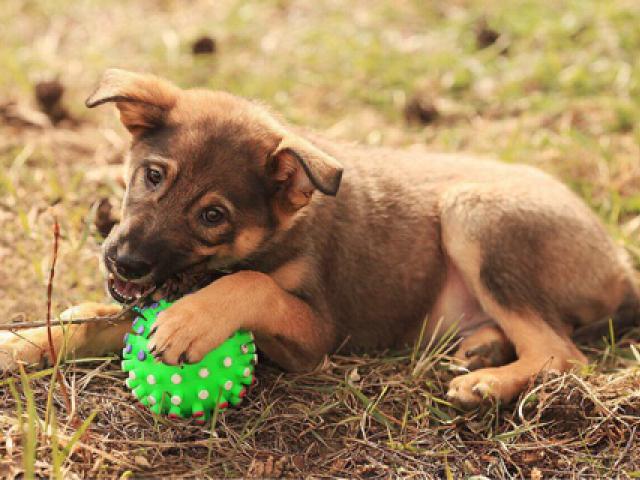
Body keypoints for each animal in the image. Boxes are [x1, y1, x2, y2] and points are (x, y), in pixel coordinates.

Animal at [0, 69, 636, 406]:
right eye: (153, 177)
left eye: (213, 216)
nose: (125, 264)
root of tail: (621, 269)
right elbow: (82, 326)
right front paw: (20, 345)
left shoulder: (316, 335)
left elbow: (253, 285)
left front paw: (191, 321)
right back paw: (482, 347)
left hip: (476, 211)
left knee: (563, 352)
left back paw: (487, 381)